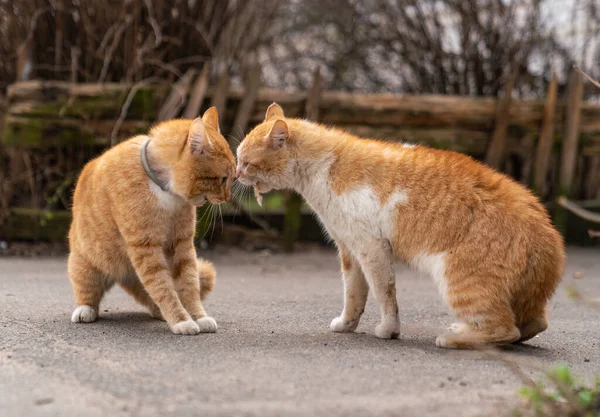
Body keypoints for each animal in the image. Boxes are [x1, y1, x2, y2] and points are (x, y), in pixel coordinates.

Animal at [69, 108, 236, 334]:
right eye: (223, 179)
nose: (227, 198)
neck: (165, 190)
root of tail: (123, 275)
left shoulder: (182, 245)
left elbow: (188, 285)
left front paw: (197, 317)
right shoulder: (146, 249)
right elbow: (163, 288)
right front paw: (181, 320)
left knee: (154, 297)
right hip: (84, 264)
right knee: (88, 291)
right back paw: (85, 310)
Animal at [237, 103, 564, 348]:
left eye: (247, 163)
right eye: (238, 159)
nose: (236, 174)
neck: (324, 166)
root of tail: (547, 232)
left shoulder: (372, 248)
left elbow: (384, 293)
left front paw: (388, 330)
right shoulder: (350, 250)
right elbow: (353, 293)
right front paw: (347, 324)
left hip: (458, 280)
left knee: (505, 330)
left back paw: (453, 338)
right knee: (533, 324)